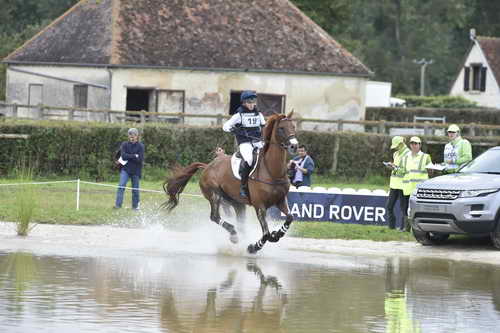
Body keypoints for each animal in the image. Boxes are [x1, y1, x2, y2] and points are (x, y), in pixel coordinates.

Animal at [163, 111, 296, 252]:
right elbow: (266, 234)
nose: (294, 145)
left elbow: (289, 218)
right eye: (281, 128)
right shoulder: (260, 206)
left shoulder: (280, 200)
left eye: (293, 126)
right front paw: (253, 247)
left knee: (239, 222)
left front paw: (277, 234)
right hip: (215, 195)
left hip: (236, 202)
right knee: (215, 217)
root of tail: (208, 166)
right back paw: (234, 234)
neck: (271, 171)